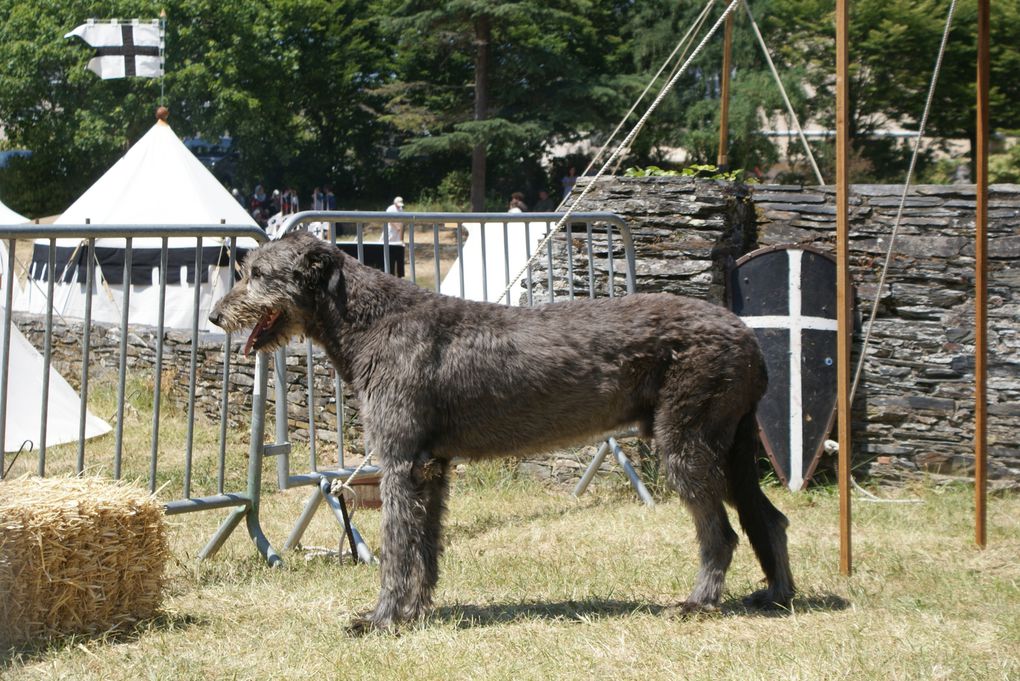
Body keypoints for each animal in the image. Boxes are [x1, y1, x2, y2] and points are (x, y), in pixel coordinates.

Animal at [209, 231, 795, 636]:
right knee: (770, 518)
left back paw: (700, 602)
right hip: (729, 444)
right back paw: (778, 597)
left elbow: (397, 547)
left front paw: (381, 620)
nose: (215, 315)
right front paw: (416, 612)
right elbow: (425, 547)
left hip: (687, 442)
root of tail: (747, 337)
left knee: (722, 532)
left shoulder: (399, 462)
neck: (372, 321)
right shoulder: (431, 466)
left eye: (257, 272)